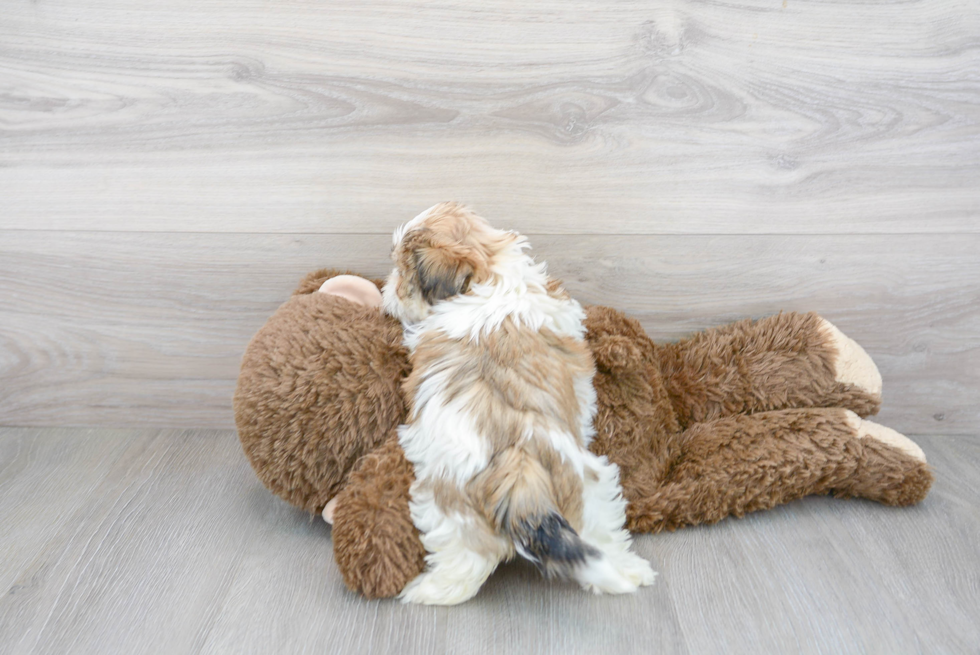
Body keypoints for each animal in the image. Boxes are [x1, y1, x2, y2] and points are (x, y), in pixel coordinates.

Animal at [384, 202, 660, 608]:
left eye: (403, 274)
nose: (386, 288)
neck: (491, 276)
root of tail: (520, 469)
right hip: (584, 488)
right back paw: (627, 571)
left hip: (453, 506)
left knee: (467, 563)